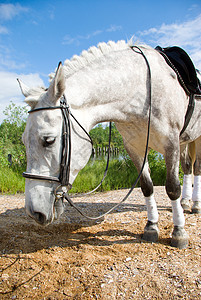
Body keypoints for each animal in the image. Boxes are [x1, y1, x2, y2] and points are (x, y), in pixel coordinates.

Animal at [18, 41, 201, 250]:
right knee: (187, 167)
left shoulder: (170, 143)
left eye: (48, 140)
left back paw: (195, 205)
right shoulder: (135, 148)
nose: (34, 212)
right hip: (184, 141)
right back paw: (186, 202)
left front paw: (179, 232)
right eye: (24, 140)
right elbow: (147, 186)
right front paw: (151, 226)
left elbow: (172, 188)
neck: (143, 90)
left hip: (195, 139)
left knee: (196, 168)